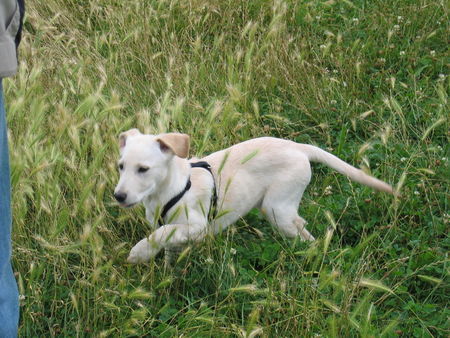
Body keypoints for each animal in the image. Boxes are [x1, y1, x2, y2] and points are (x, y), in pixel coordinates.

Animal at [115, 129, 394, 264]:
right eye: (121, 166)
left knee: (304, 232)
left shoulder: (197, 226)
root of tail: (298, 147)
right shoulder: (175, 232)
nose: (118, 196)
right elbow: (166, 243)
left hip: (276, 209)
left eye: (143, 169)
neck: (171, 189)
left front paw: (138, 253)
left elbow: (161, 234)